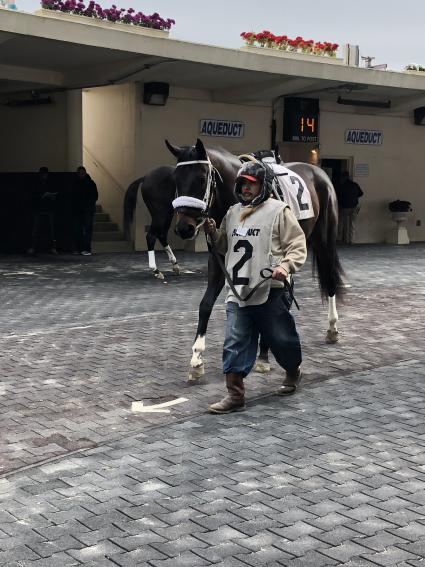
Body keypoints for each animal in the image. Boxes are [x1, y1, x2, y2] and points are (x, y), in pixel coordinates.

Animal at [167, 136, 342, 382]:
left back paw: (332, 328)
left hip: (323, 239)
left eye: (201, 179)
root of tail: (319, 172)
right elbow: (206, 304)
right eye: (175, 179)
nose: (184, 228)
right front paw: (196, 360)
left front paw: (263, 356)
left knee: (328, 278)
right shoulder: (220, 258)